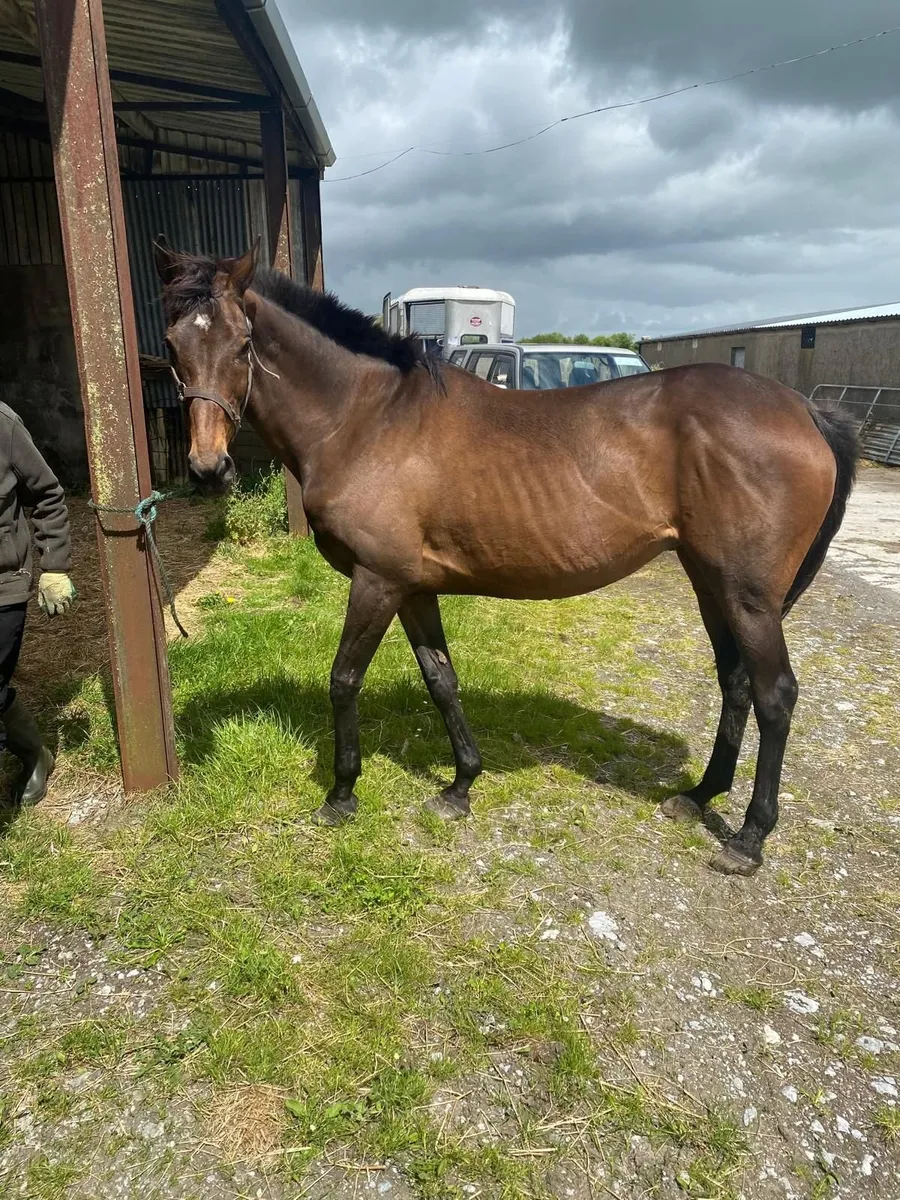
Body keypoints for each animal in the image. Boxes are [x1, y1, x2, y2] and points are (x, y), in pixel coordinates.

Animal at [153, 237, 857, 878]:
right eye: (173, 346)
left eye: (243, 344)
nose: (208, 470)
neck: (367, 419)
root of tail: (804, 408)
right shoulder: (412, 585)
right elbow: (441, 679)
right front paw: (461, 784)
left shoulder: (375, 581)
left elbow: (344, 679)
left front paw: (341, 794)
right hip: (711, 581)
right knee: (735, 683)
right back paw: (699, 795)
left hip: (749, 596)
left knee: (775, 696)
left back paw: (748, 839)